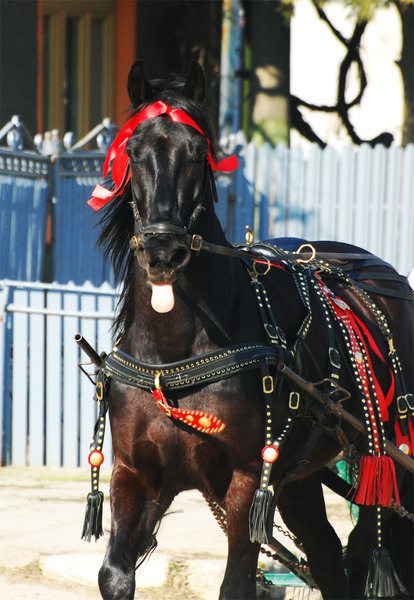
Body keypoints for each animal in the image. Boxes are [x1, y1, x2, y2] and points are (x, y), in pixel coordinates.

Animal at [85, 60, 414, 600]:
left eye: (198, 154)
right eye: (132, 152)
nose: (162, 250)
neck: (173, 356)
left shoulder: (248, 481)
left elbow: (236, 583)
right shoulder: (137, 474)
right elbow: (115, 574)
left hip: (384, 464)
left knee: (365, 547)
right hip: (300, 476)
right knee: (329, 556)